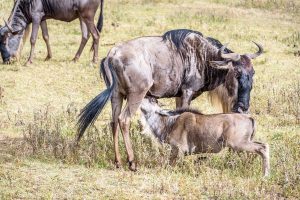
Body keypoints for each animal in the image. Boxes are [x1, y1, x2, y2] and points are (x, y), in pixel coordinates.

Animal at [140, 97, 270, 177]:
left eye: (152, 100)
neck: (171, 122)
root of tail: (249, 117)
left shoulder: (179, 149)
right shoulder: (175, 150)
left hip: (238, 144)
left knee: (263, 147)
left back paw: (265, 175)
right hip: (246, 142)